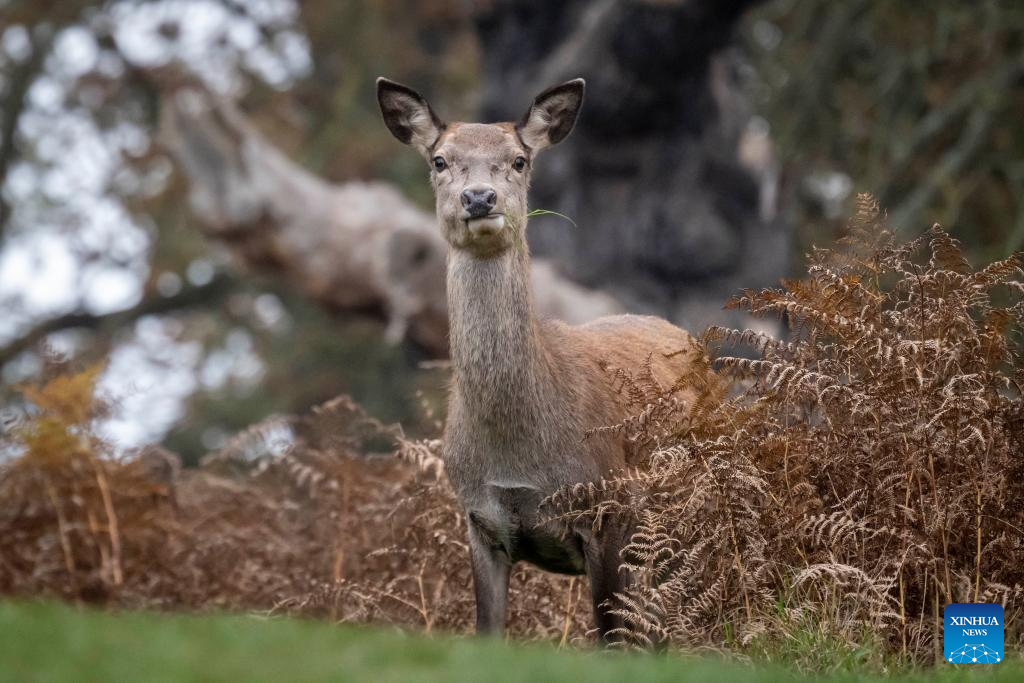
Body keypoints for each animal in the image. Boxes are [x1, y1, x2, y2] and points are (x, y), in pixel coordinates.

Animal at [376, 77, 704, 643]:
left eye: (519, 160)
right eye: (440, 160)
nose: (479, 197)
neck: (519, 454)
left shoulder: (610, 508)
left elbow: (611, 638)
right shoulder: (479, 520)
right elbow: (487, 632)